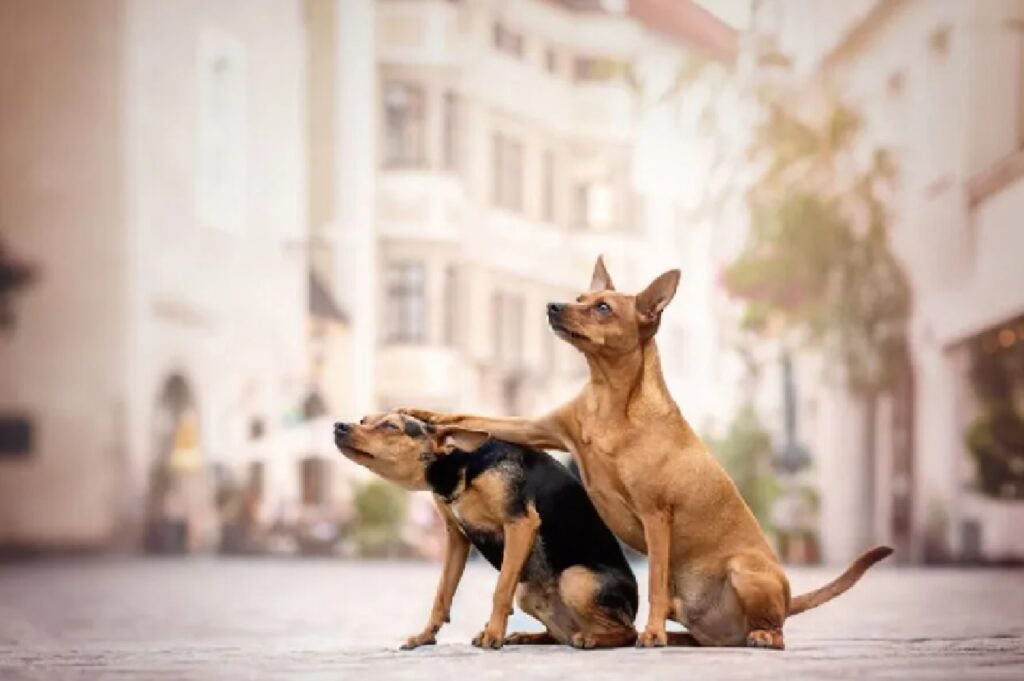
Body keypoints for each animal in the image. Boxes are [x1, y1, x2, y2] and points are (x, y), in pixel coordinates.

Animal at [331, 409, 634, 647]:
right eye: (364, 419)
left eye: (390, 427)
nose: (339, 425)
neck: (462, 465)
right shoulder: (456, 538)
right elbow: (442, 594)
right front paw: (425, 637)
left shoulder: (520, 524)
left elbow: (500, 590)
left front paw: (493, 635)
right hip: (528, 592)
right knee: (559, 635)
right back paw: (529, 636)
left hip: (575, 578)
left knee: (626, 632)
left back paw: (594, 639)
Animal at [403, 254, 892, 647]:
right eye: (581, 296)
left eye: (603, 307)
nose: (553, 306)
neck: (610, 401)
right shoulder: (541, 428)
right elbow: (472, 417)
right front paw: (422, 414)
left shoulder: (656, 515)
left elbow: (654, 579)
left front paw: (652, 634)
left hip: (744, 571)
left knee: (771, 627)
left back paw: (755, 635)